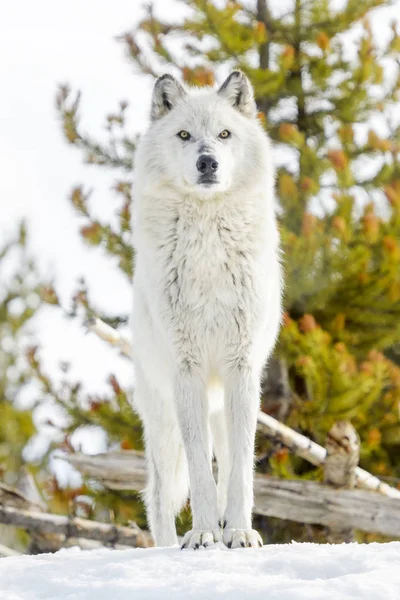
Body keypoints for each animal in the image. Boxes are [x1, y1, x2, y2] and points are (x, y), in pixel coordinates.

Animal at [131, 70, 282, 548]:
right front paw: (201, 535)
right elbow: (199, 471)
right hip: (162, 421)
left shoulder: (242, 368)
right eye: (184, 135)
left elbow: (239, 471)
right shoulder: (187, 371)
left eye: (224, 134)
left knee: (229, 462)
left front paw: (238, 532)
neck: (208, 245)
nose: (207, 163)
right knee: (158, 497)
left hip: (223, 404)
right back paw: (168, 546)